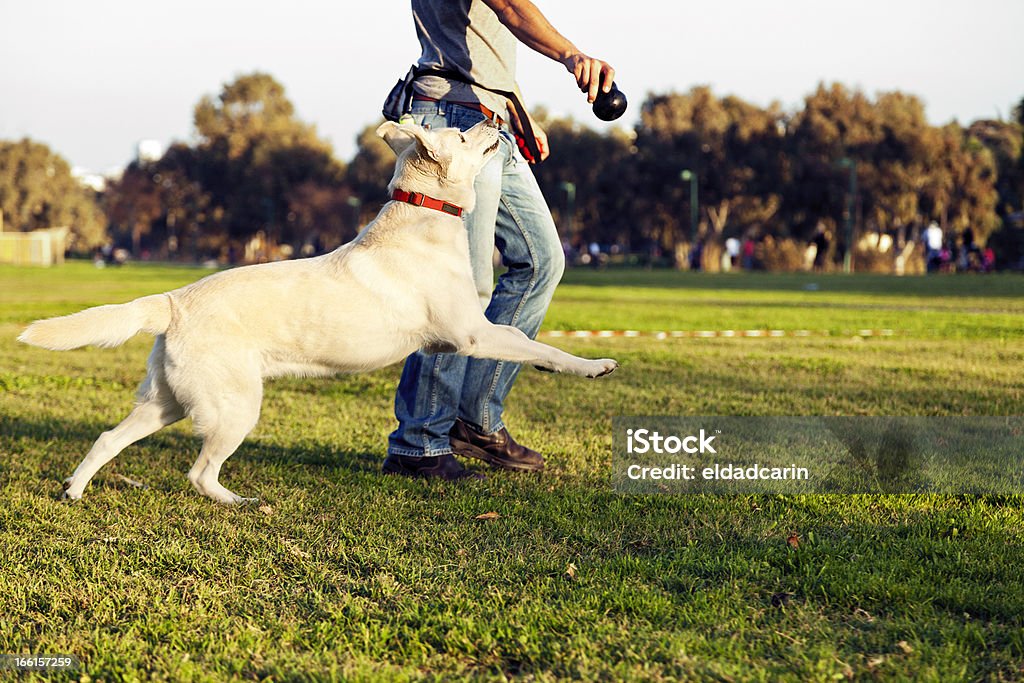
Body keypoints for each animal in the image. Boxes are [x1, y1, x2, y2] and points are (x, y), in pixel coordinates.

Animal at [19, 118, 614, 501]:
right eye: (464, 135)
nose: (496, 118)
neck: (424, 215)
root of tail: (173, 301)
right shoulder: (472, 333)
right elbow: (536, 345)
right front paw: (592, 366)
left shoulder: (467, 335)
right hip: (234, 407)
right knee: (200, 472)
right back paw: (238, 502)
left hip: (166, 402)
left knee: (107, 438)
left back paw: (74, 490)